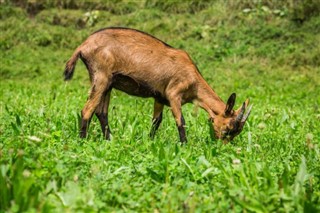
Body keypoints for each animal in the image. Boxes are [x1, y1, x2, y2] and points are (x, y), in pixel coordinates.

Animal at [63, 27, 251, 143]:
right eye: (227, 129)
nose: (222, 147)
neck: (194, 82)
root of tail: (84, 45)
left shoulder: (159, 96)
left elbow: (156, 120)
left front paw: (150, 140)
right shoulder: (174, 94)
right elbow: (180, 120)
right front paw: (185, 145)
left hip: (108, 83)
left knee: (101, 112)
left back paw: (109, 139)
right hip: (100, 76)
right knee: (87, 109)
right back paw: (83, 141)